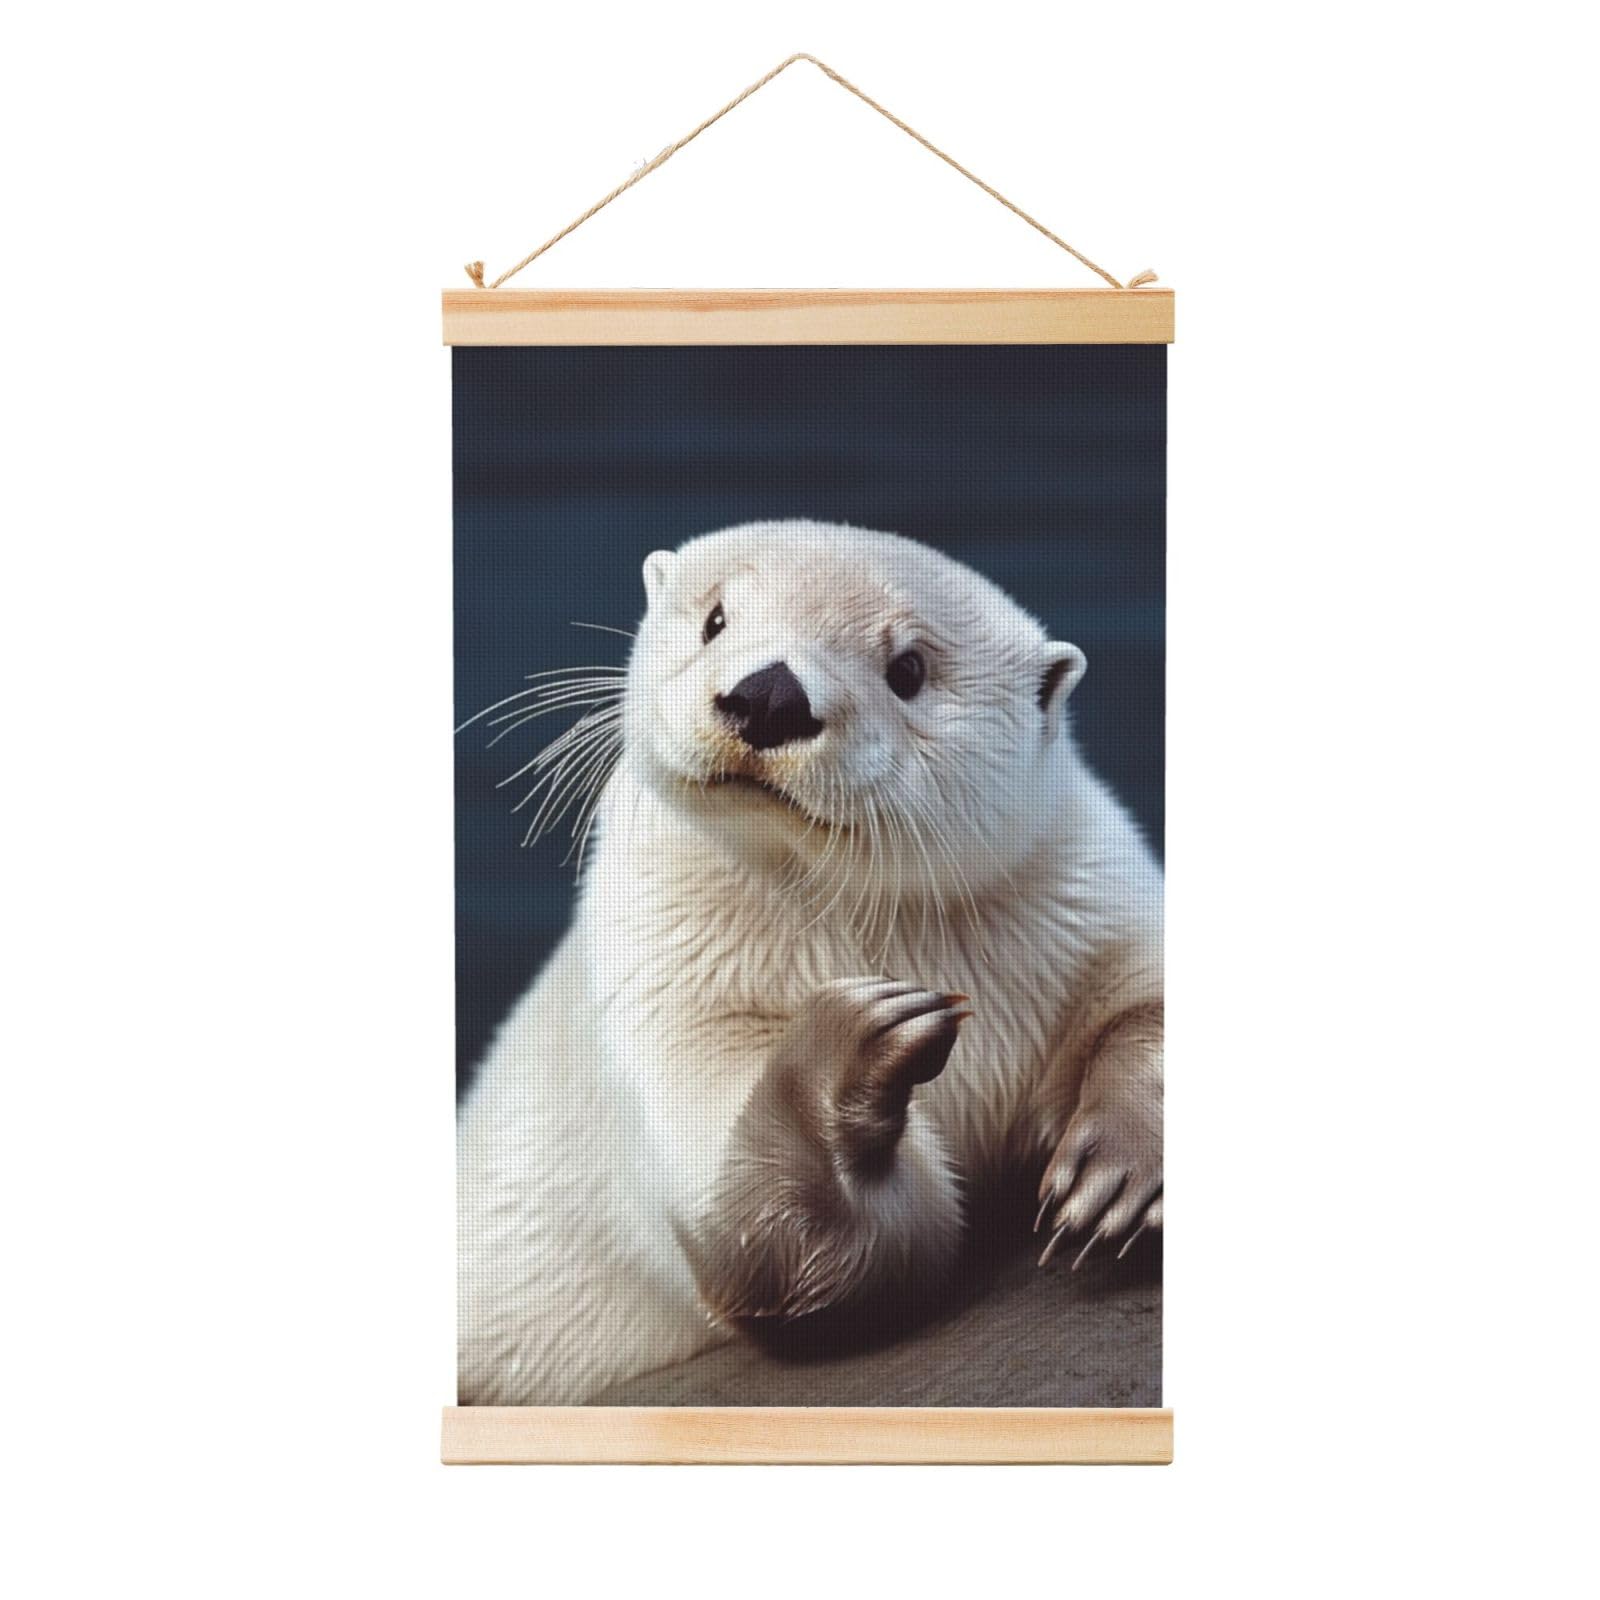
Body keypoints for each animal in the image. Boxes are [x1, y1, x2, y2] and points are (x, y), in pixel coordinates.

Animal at [457, 520, 1162, 1405]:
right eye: (716, 618)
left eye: (908, 669)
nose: (768, 696)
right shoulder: (665, 994)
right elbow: (800, 1248)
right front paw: (862, 1038)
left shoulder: (1090, 894)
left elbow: (1144, 1002)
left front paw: (1117, 1171)